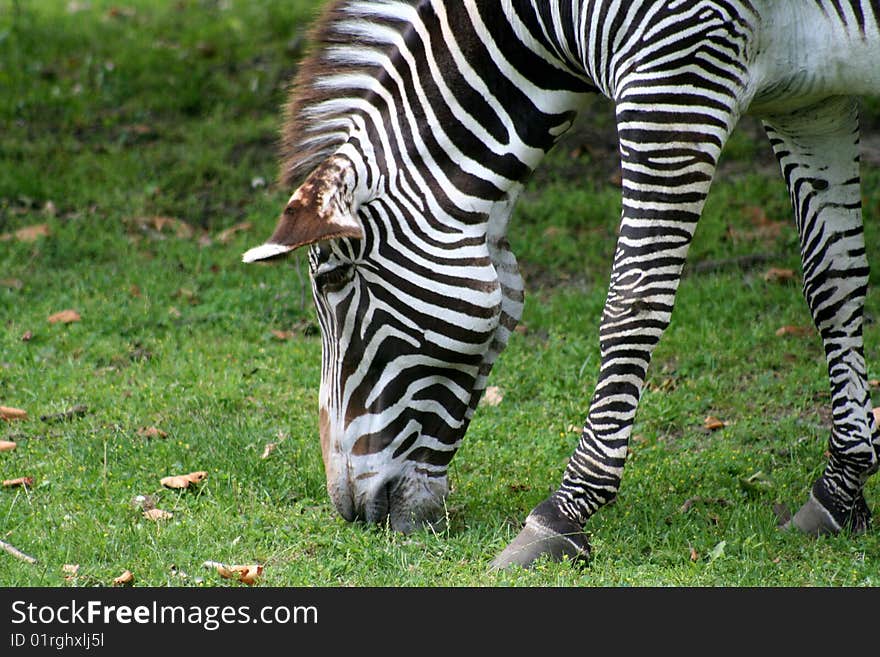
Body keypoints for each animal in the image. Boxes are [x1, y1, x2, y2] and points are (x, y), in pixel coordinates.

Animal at [244, 0, 880, 568]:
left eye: (334, 278)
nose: (349, 511)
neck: (552, 15)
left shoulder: (677, 71)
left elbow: (634, 300)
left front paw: (561, 515)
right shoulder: (810, 99)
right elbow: (833, 282)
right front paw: (840, 488)